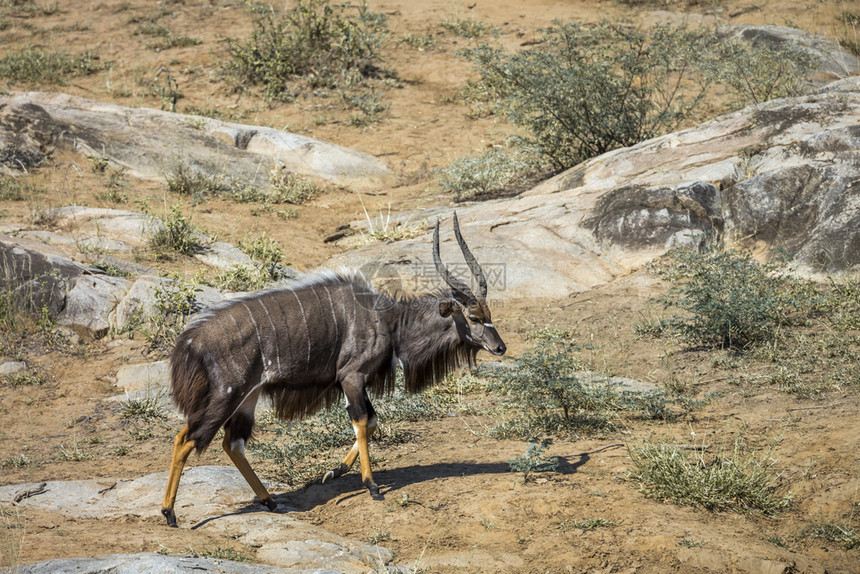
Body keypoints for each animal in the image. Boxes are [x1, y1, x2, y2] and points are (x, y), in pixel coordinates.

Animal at [161, 214, 504, 528]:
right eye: (474, 317)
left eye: (489, 314)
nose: (500, 347)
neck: (389, 321)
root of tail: (190, 343)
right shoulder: (352, 376)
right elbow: (363, 421)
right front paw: (372, 487)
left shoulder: (354, 382)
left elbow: (372, 421)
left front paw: (333, 471)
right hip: (227, 396)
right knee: (186, 439)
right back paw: (169, 514)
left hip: (248, 397)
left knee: (231, 443)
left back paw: (269, 501)